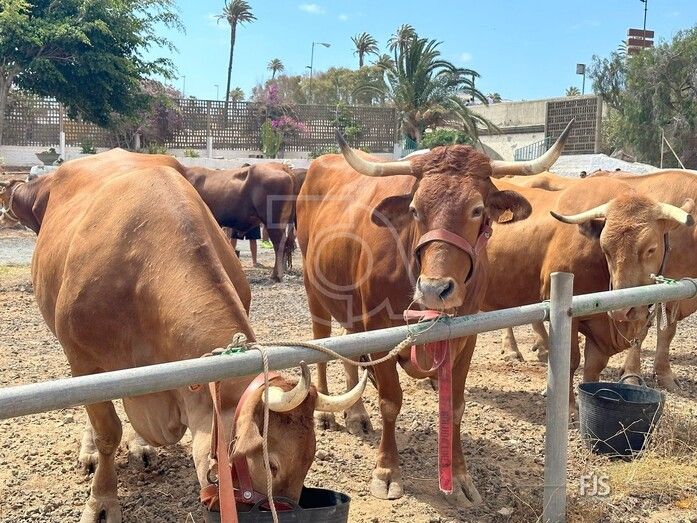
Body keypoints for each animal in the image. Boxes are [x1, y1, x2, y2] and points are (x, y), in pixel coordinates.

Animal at [0, 149, 365, 522]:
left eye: (310, 459)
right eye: (272, 464)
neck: (142, 276)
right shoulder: (84, 360)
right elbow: (106, 431)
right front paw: (101, 500)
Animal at [296, 123, 572, 507]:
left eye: (477, 210)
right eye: (414, 209)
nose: (434, 288)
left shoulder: (466, 336)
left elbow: (455, 406)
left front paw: (460, 476)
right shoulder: (381, 331)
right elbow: (390, 401)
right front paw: (387, 471)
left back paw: (356, 414)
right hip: (316, 294)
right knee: (322, 343)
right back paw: (326, 413)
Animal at [482, 176, 693, 410]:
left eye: (651, 249)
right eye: (605, 249)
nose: (621, 311)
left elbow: (594, 365)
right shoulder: (566, 314)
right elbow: (571, 360)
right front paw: (568, 405)